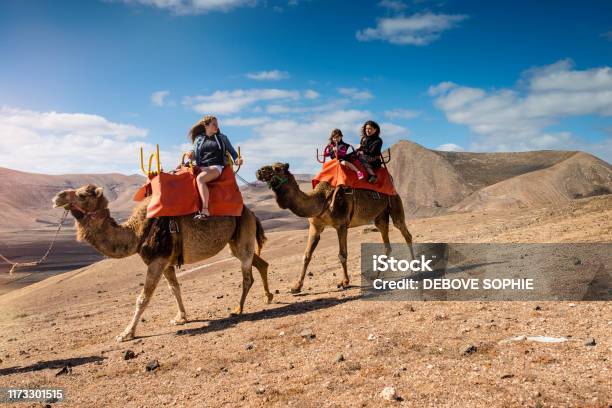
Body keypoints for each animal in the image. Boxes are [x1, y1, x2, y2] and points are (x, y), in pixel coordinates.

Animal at [51, 184, 272, 342]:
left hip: (243, 232)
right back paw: (268, 296)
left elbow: (143, 298)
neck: (137, 232)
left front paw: (126, 334)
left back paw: (238, 309)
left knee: (247, 275)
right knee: (260, 263)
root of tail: (252, 212)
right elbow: (175, 288)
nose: (57, 197)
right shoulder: (166, 262)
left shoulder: (157, 260)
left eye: (82, 195)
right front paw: (181, 318)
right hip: (235, 242)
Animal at [256, 163, 414, 294]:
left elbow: (342, 254)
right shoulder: (315, 226)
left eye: (277, 168)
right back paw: (376, 277)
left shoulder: (342, 224)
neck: (321, 199)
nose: (259, 171)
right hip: (380, 217)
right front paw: (296, 287)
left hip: (394, 203)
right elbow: (306, 255)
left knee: (406, 233)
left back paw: (413, 269)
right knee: (387, 244)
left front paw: (344, 282)